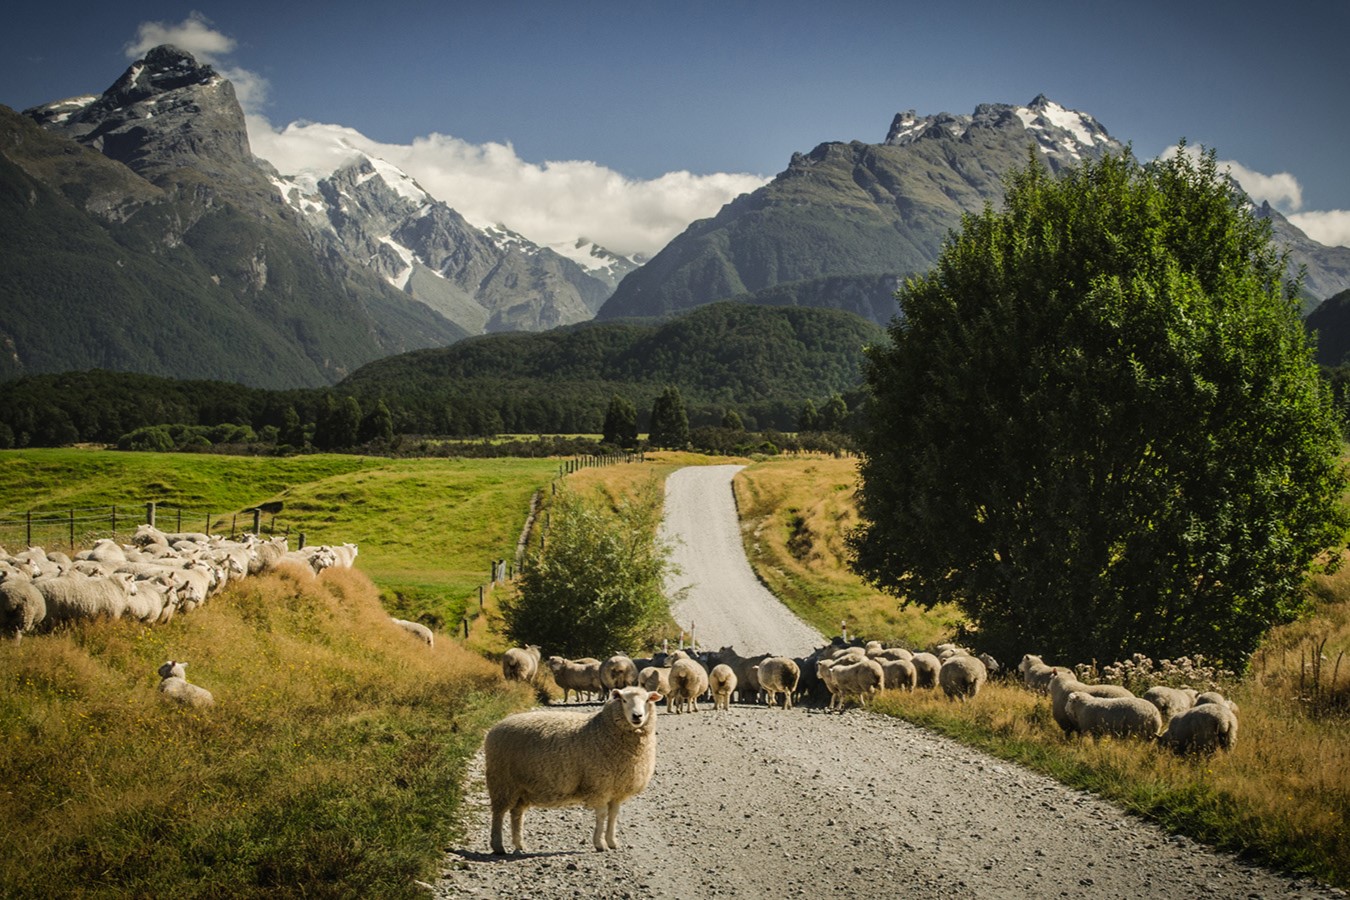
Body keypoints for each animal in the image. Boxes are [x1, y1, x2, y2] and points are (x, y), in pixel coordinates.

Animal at [483, 685, 661, 858]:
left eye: (647, 700)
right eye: (623, 700)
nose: (637, 716)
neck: (603, 729)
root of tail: (496, 727)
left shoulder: (617, 789)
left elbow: (613, 815)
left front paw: (612, 842)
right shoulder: (599, 786)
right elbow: (602, 814)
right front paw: (600, 844)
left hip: (522, 787)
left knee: (516, 813)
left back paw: (519, 844)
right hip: (502, 781)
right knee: (498, 813)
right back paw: (498, 846)